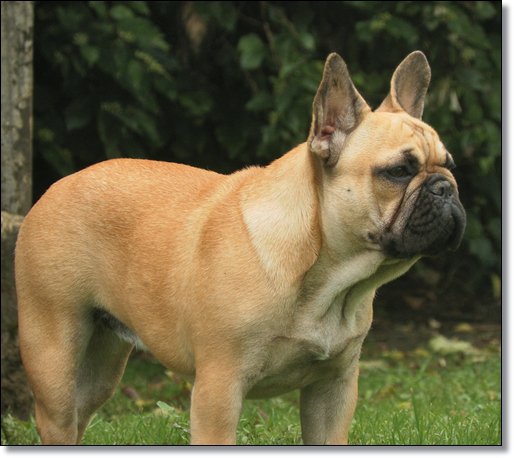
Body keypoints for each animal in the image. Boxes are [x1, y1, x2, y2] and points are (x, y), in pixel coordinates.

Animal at [15, 51, 466, 445]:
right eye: (398, 171)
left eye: (450, 165)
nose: (445, 188)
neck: (325, 278)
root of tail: (58, 186)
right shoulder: (219, 389)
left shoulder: (333, 389)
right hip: (54, 358)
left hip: (102, 364)